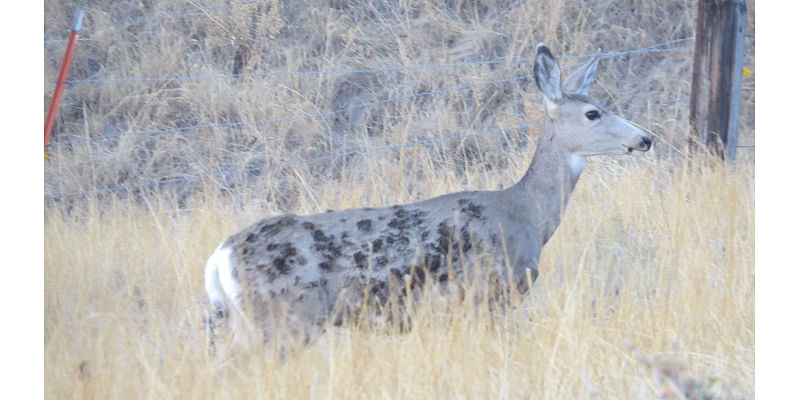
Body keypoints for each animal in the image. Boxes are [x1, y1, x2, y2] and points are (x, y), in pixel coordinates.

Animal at [202, 44, 648, 346]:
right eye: (593, 113)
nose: (645, 138)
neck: (525, 215)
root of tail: (220, 256)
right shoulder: (485, 295)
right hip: (285, 317)